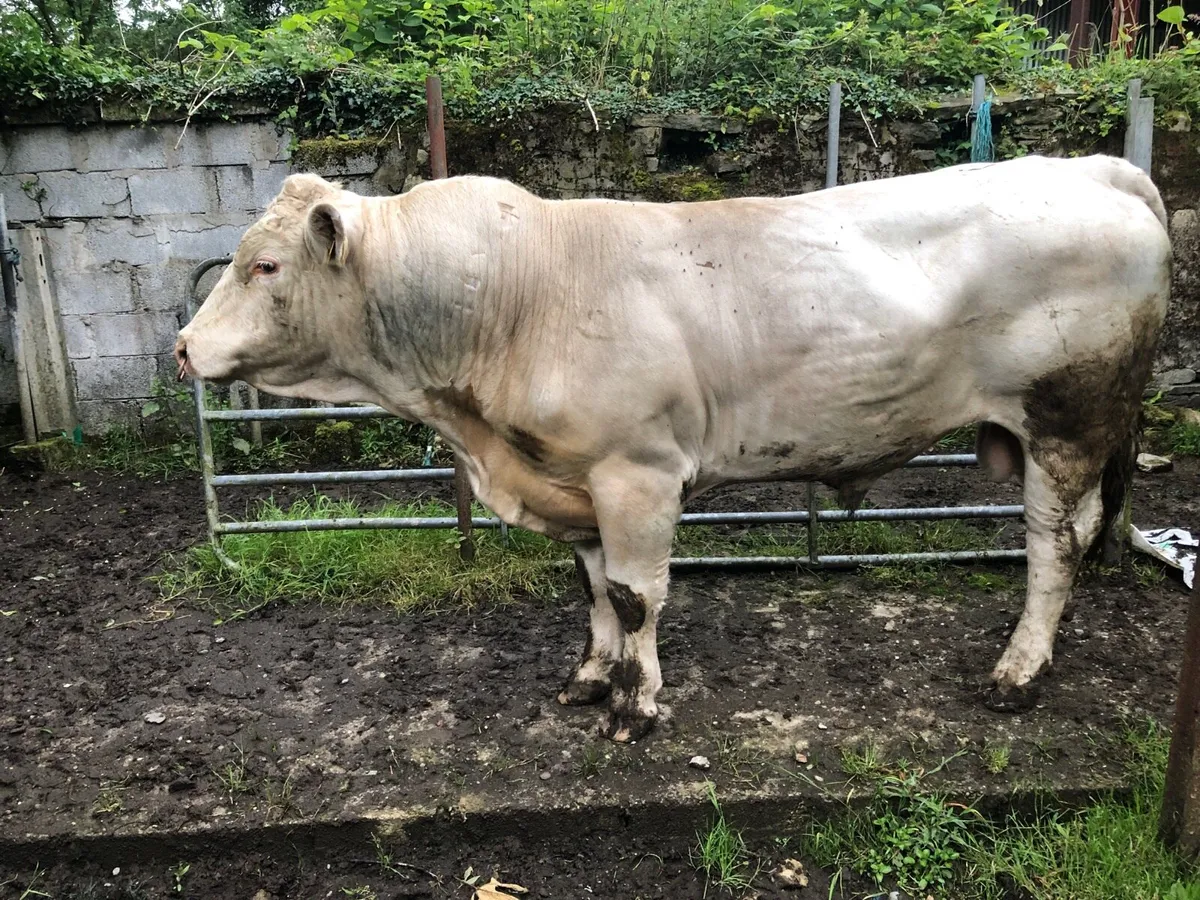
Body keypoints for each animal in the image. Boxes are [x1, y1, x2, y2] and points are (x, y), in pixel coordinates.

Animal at [175, 154, 1172, 743]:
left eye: (264, 266)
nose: (182, 346)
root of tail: (1099, 167)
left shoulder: (638, 473)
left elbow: (635, 595)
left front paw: (635, 703)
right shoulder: (574, 478)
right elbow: (591, 591)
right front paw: (590, 676)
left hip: (1066, 420)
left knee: (1054, 546)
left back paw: (1019, 671)